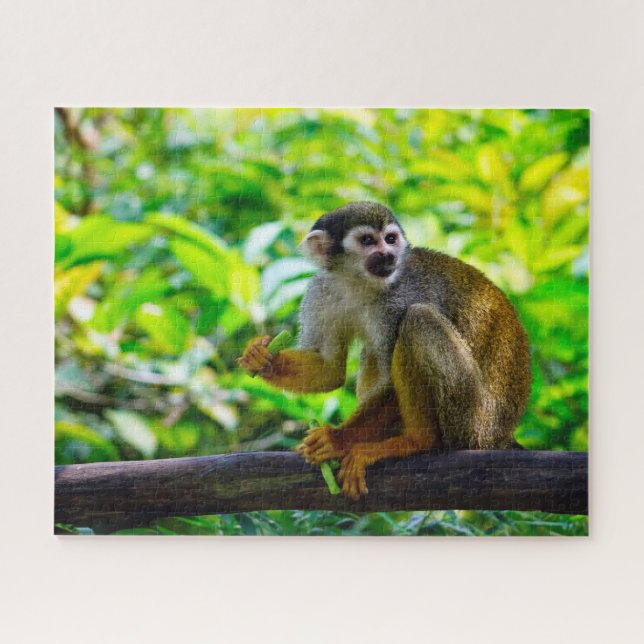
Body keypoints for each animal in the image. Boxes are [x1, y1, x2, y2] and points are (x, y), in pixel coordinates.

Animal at [238, 201, 531, 500]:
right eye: (368, 241)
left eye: (390, 239)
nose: (388, 254)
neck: (358, 283)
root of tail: (501, 434)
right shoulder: (321, 292)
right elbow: (329, 369)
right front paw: (262, 358)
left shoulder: (398, 299)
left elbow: (391, 383)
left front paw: (337, 439)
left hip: (472, 421)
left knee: (418, 320)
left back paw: (416, 441)